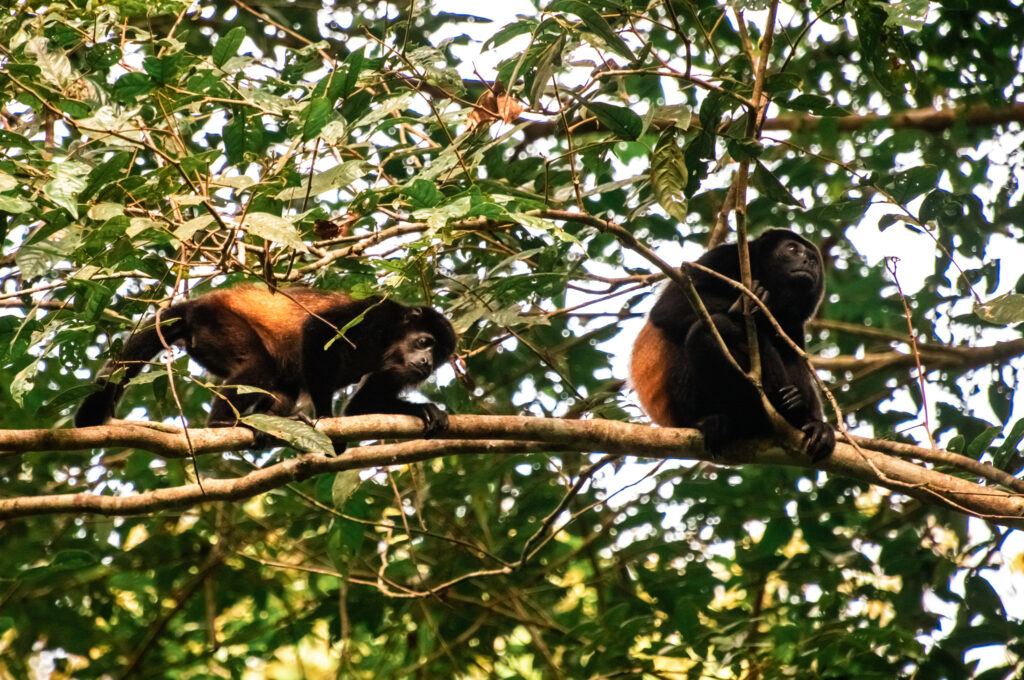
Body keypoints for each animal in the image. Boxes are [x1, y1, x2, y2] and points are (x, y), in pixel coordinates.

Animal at [75, 285, 457, 452]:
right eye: (424, 342)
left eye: (438, 358)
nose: (426, 365)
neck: (389, 342)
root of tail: (195, 305)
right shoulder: (376, 315)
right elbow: (317, 333)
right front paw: (326, 417)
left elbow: (361, 407)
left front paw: (425, 410)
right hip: (217, 323)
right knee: (258, 366)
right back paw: (223, 424)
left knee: (283, 388)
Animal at [630, 229, 835, 462]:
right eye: (792, 248)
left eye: (814, 260)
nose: (808, 261)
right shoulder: (720, 258)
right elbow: (670, 306)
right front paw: (749, 309)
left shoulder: (795, 323)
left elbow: (796, 357)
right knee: (708, 330)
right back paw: (714, 419)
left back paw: (803, 416)